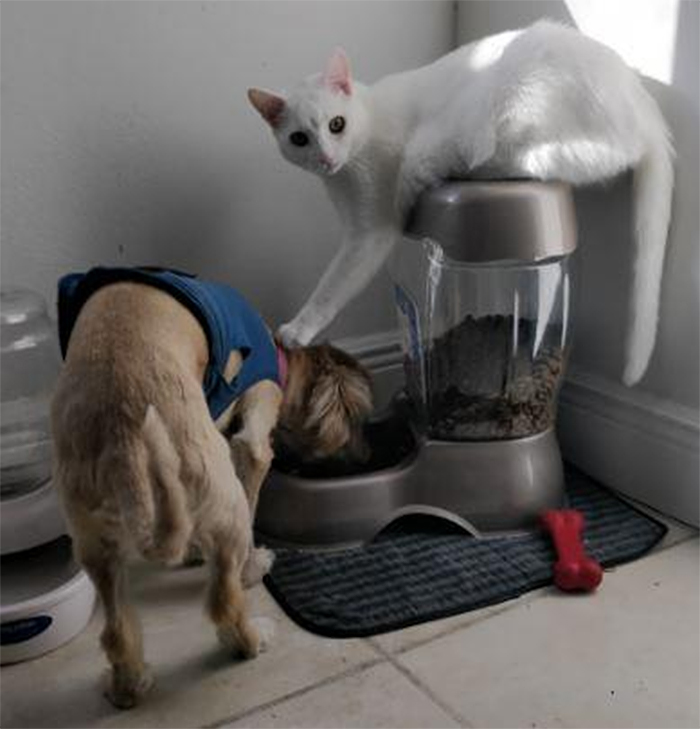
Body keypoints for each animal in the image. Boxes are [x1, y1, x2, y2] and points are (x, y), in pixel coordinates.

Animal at [50, 266, 372, 704]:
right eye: (355, 421)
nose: (363, 456)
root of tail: (123, 434)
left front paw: (193, 551)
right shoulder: (252, 436)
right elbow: (254, 473)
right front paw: (249, 564)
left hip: (94, 539)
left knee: (116, 630)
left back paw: (129, 684)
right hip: (225, 492)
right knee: (225, 601)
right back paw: (251, 636)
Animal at [250, 21, 672, 386]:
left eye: (337, 125)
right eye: (300, 139)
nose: (325, 158)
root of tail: (644, 107)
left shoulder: (370, 234)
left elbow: (331, 285)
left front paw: (296, 329)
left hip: (502, 117)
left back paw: (480, 167)